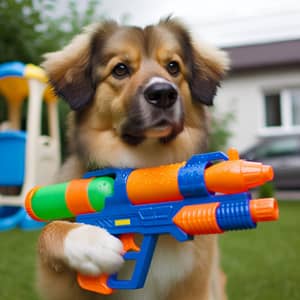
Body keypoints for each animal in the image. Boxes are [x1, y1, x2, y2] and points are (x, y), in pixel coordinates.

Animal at [37, 18, 229, 300]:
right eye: (120, 69)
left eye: (173, 66)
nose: (163, 94)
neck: (145, 164)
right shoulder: (58, 284)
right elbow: (48, 231)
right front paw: (92, 242)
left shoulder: (195, 283)